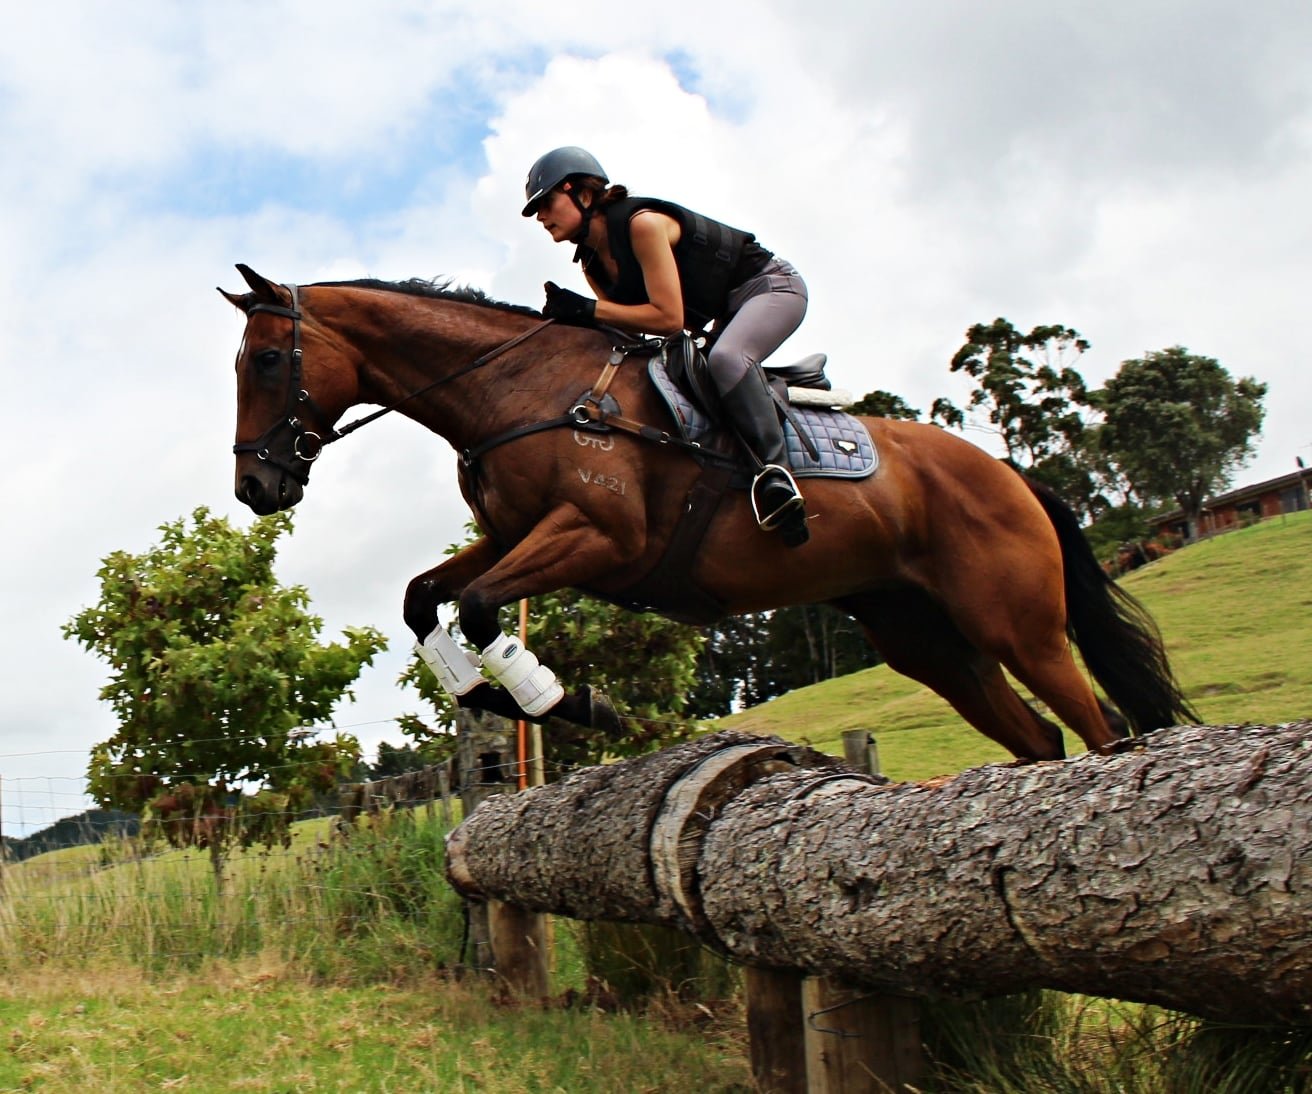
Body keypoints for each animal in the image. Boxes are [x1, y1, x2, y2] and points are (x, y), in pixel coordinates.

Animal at [222, 264, 1197, 762]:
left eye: (267, 360)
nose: (256, 490)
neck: (520, 388)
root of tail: (1013, 478)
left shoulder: (599, 538)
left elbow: (481, 606)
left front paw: (577, 705)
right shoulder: (512, 535)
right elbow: (426, 597)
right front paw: (497, 694)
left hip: (1015, 624)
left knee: (1101, 726)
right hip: (925, 641)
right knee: (1038, 737)